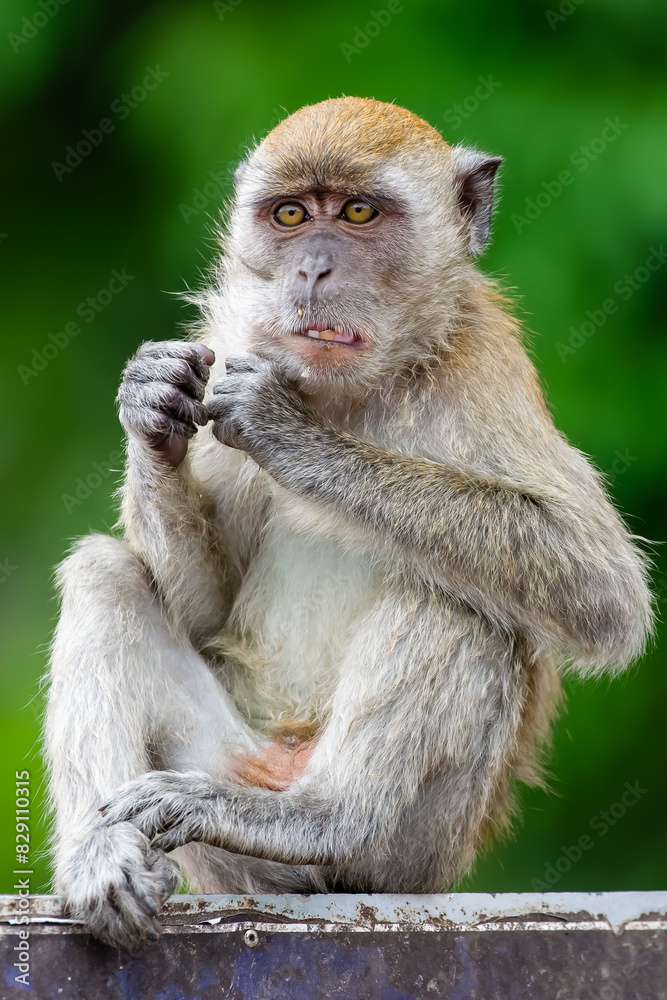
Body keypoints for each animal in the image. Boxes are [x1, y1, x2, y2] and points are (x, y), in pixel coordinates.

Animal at [44, 97, 656, 948]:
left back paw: (319, 819)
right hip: (224, 780)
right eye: (291, 215)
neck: (351, 391)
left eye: (358, 213)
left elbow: (599, 590)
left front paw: (286, 433)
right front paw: (152, 403)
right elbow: (204, 610)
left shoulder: (482, 371)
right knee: (105, 573)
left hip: (415, 851)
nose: (312, 270)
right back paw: (100, 857)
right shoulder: (232, 338)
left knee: (459, 601)